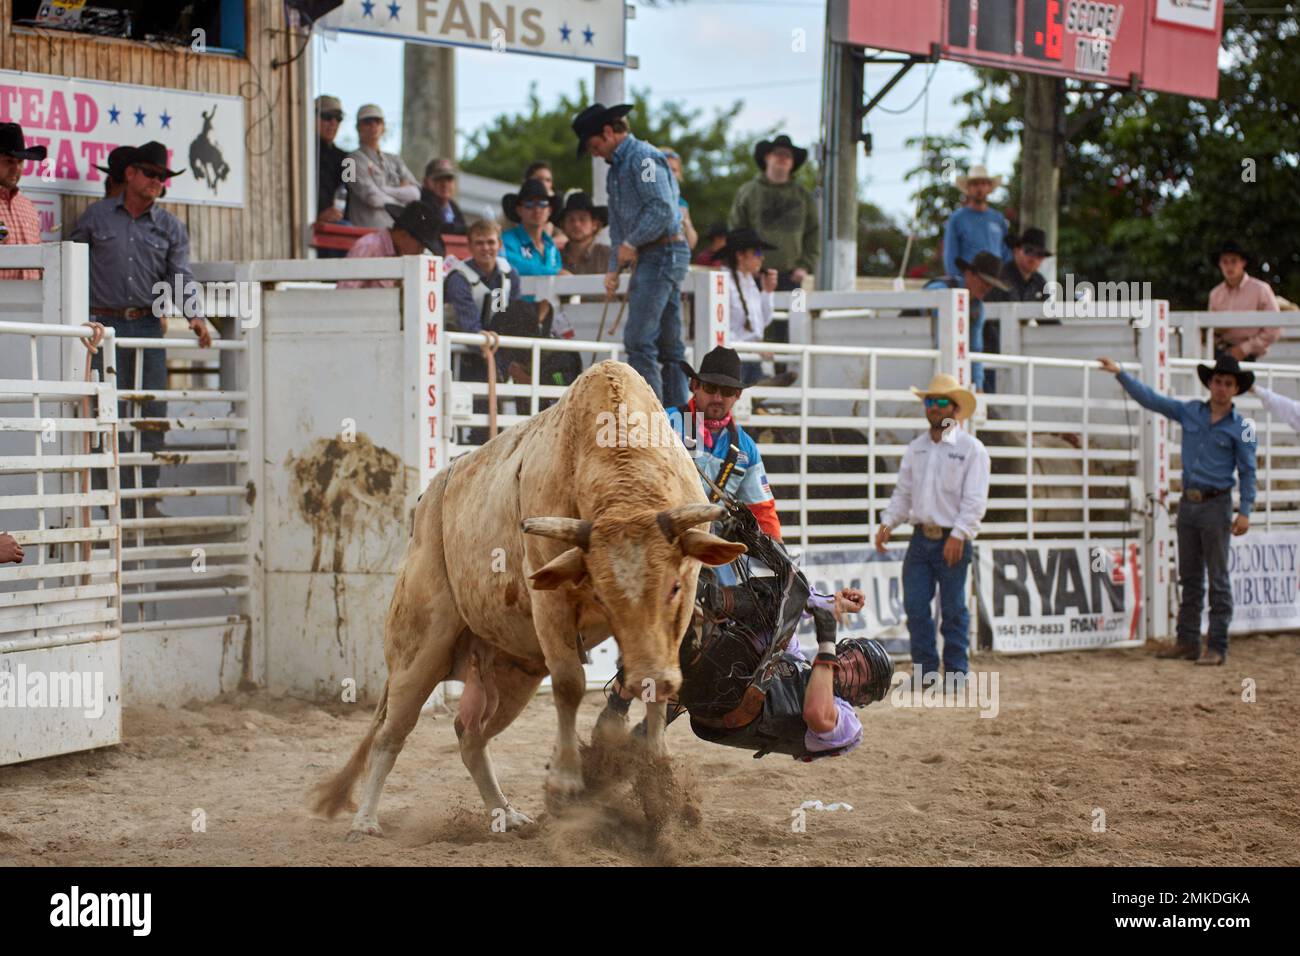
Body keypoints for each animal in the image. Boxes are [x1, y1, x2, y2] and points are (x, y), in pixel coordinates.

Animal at [309, 358, 748, 837]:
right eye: (603, 595)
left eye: (671, 587)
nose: (654, 676)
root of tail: (426, 505)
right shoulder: (551, 606)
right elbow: (570, 684)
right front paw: (568, 779)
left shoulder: (680, 608)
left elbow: (658, 689)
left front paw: (659, 774)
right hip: (418, 651)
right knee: (392, 733)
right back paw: (366, 820)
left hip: (513, 671)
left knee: (470, 736)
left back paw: (506, 812)